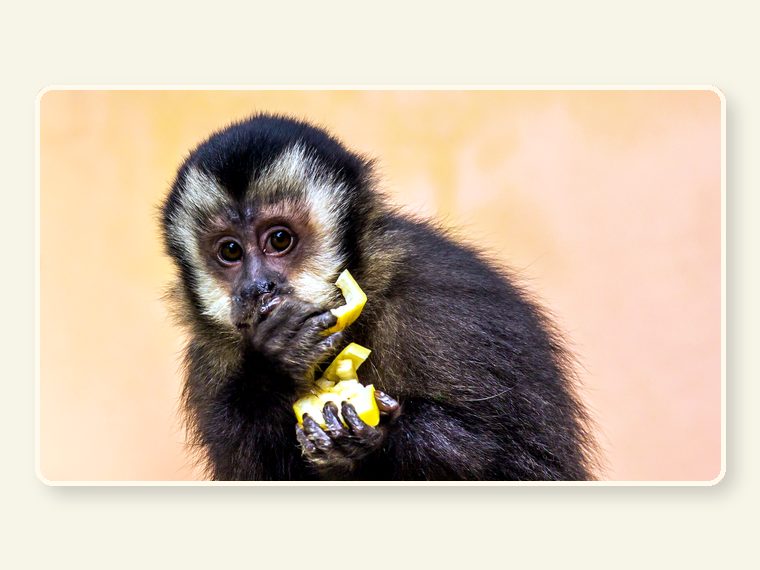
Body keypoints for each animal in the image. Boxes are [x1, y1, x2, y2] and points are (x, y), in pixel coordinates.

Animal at [161, 113, 598, 481]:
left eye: (280, 240)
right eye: (230, 251)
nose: (256, 288)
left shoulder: (446, 311)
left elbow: (511, 461)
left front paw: (371, 438)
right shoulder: (209, 361)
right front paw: (274, 364)